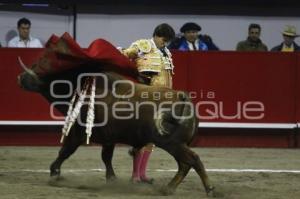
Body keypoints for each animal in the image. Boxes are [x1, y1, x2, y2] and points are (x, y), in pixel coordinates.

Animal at [17, 64, 214, 196]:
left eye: (44, 71)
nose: (21, 77)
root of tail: (182, 97)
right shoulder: (109, 138)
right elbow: (106, 157)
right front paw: (111, 179)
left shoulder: (77, 134)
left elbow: (65, 151)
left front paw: (54, 173)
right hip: (178, 144)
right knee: (185, 164)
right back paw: (169, 188)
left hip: (172, 143)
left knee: (192, 160)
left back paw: (209, 189)